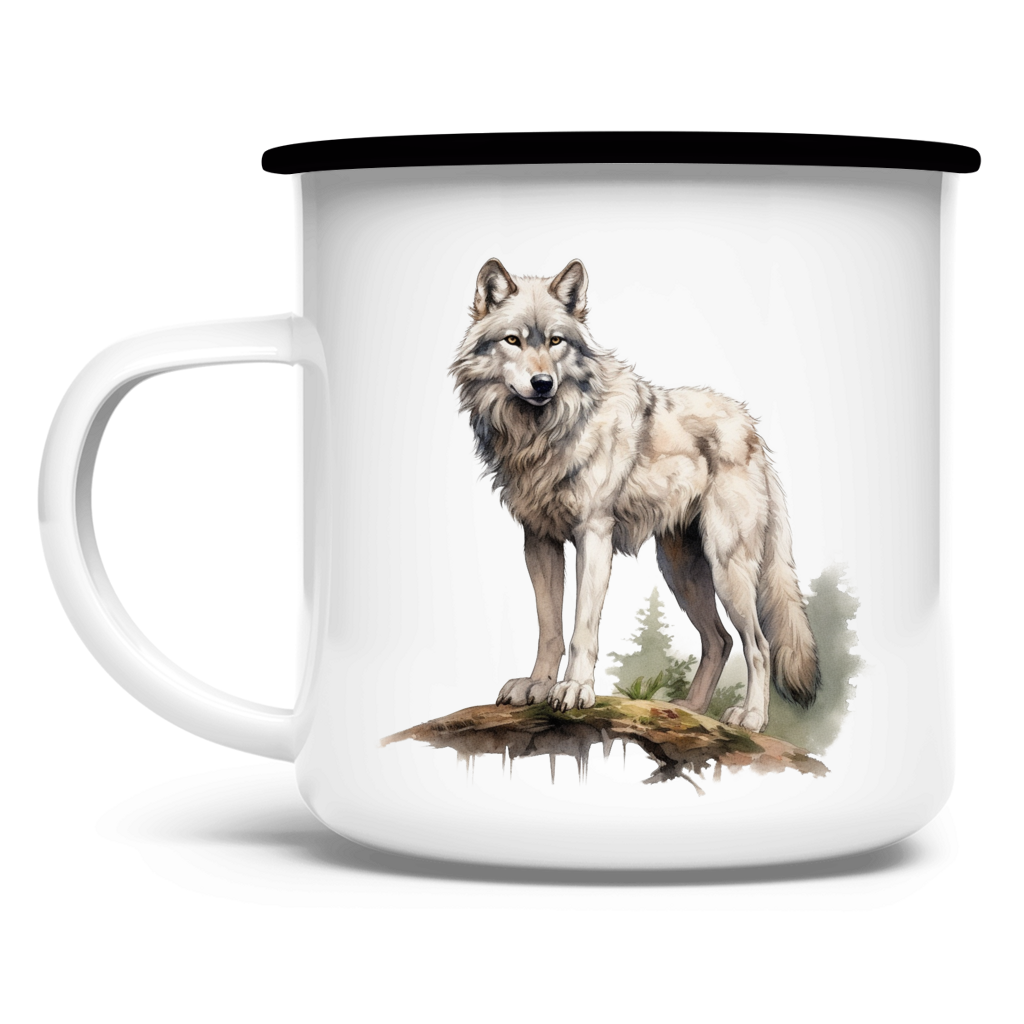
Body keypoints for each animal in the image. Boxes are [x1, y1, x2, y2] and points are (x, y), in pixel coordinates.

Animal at [447, 257, 819, 732]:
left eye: (555, 341)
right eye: (513, 340)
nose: (543, 383)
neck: (542, 434)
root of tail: (753, 427)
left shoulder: (593, 535)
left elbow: (583, 629)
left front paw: (575, 689)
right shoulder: (538, 541)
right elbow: (550, 628)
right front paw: (537, 686)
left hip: (727, 569)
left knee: (758, 644)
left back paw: (750, 718)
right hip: (681, 571)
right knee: (719, 641)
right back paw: (689, 711)